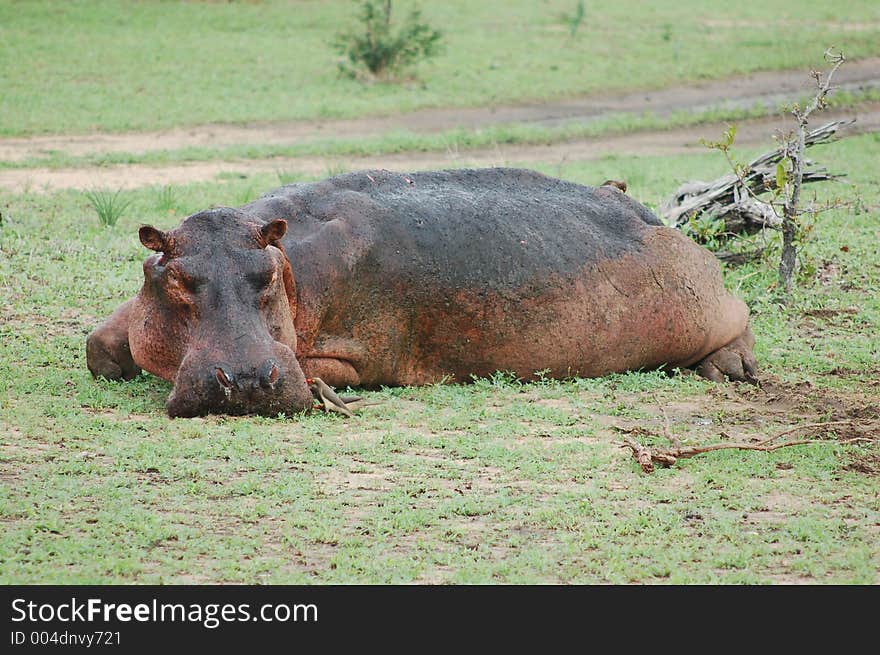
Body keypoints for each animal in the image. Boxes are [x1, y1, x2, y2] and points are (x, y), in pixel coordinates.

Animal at [87, 167, 756, 418]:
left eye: (266, 277)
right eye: (175, 277)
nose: (248, 379)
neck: (286, 257)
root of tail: (652, 215)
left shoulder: (354, 349)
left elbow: (321, 365)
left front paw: (325, 389)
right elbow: (99, 345)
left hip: (703, 302)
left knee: (739, 316)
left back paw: (731, 369)